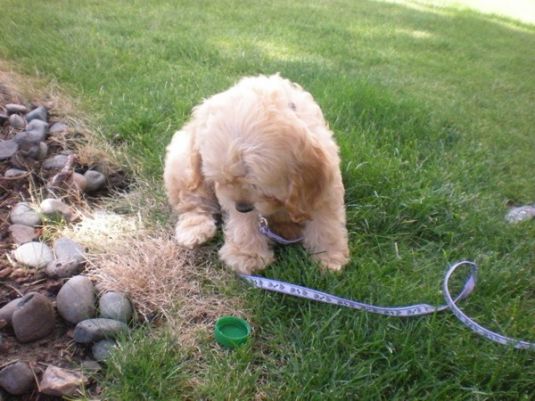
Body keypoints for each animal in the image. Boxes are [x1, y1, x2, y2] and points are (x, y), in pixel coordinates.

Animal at [165, 74, 350, 274]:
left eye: (257, 185)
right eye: (221, 181)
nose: (242, 207)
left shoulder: (324, 183)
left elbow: (326, 222)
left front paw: (329, 256)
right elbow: (244, 223)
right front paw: (247, 255)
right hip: (183, 165)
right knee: (193, 202)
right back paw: (195, 230)